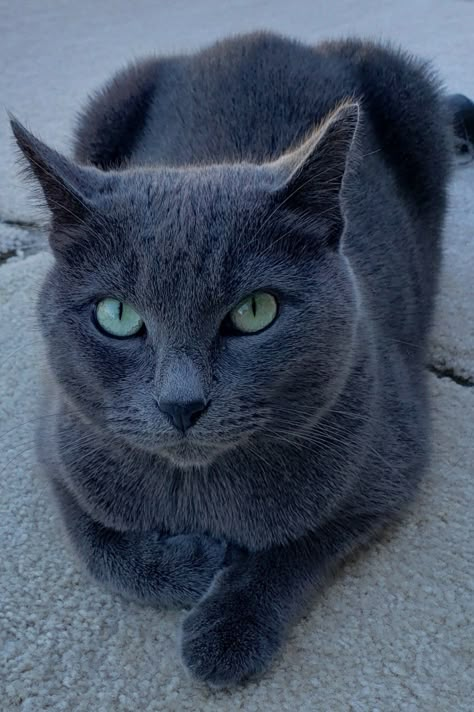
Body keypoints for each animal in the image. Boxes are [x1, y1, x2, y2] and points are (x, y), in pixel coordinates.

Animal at [12, 32, 474, 684]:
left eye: (255, 311)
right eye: (117, 315)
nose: (181, 403)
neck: (198, 488)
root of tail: (264, 39)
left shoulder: (389, 460)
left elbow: (301, 544)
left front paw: (226, 631)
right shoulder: (59, 443)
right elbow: (100, 548)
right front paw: (196, 563)